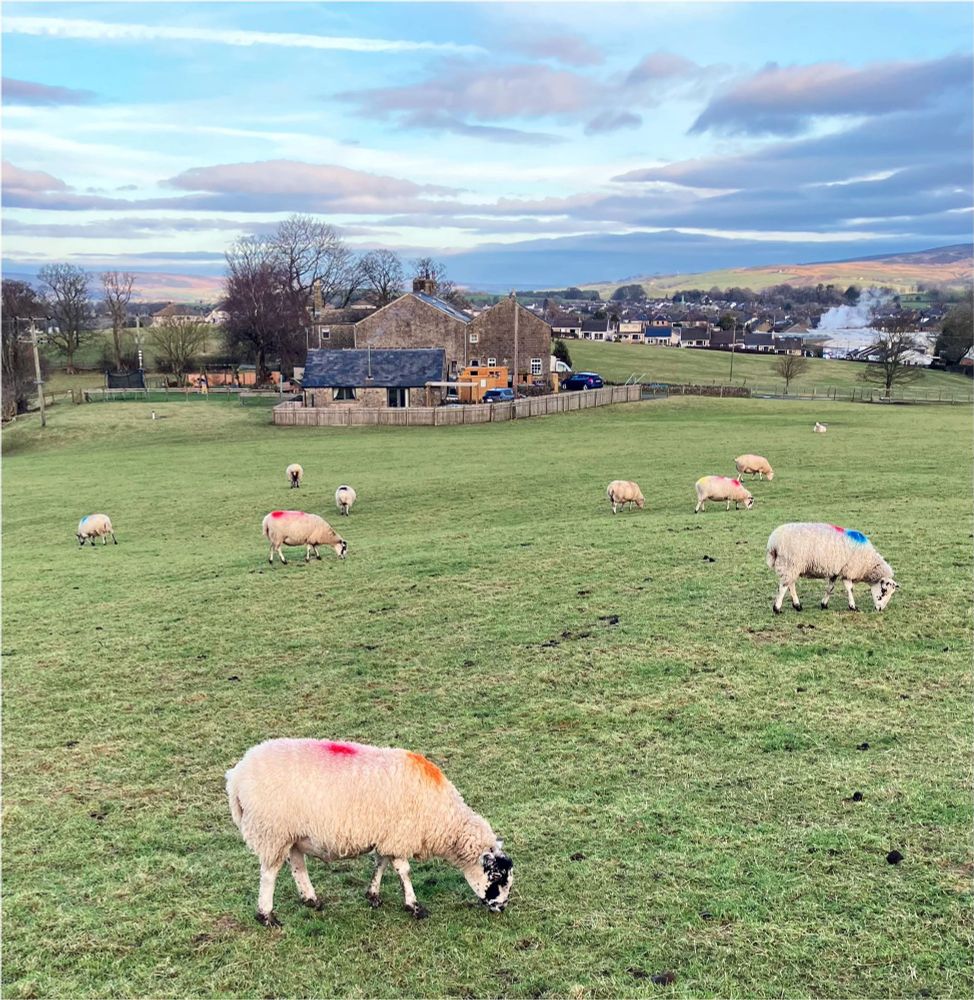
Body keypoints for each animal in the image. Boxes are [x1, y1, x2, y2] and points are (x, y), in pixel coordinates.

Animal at [226, 738, 513, 926]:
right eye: (497, 876)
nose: (501, 907)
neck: (445, 819)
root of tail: (236, 777)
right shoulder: (400, 835)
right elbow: (404, 871)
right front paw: (414, 906)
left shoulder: (388, 836)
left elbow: (381, 863)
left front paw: (373, 895)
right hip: (272, 831)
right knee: (269, 874)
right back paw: (266, 915)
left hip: (292, 834)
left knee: (297, 864)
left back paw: (311, 899)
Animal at [766, 522, 898, 614]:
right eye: (884, 590)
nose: (879, 609)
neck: (868, 563)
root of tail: (773, 542)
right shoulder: (848, 570)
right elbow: (850, 589)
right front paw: (853, 606)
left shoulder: (835, 571)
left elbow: (830, 588)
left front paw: (824, 604)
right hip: (789, 563)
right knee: (783, 586)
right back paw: (777, 608)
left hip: (792, 566)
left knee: (790, 584)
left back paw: (797, 606)